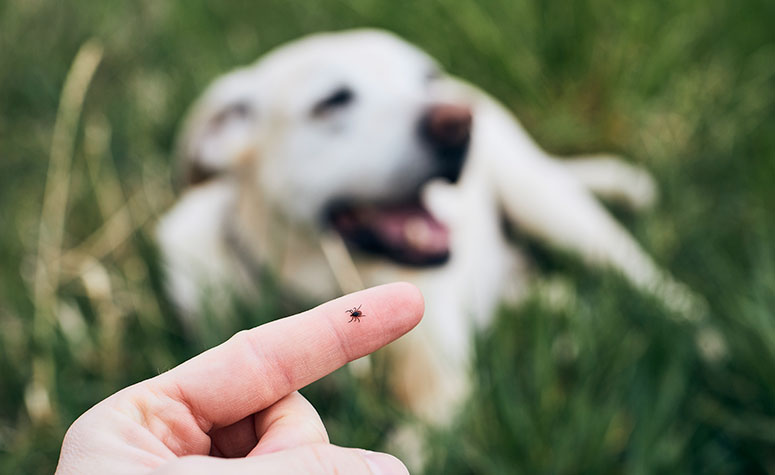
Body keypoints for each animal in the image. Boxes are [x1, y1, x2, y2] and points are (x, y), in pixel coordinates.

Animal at [156, 29, 696, 428]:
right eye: (332, 102)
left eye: (426, 77)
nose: (457, 123)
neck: (322, 281)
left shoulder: (441, 394)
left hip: (549, 206)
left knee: (652, 284)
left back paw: (701, 340)